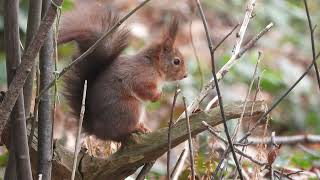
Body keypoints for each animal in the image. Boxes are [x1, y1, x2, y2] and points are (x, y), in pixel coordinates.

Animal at [58, 3, 186, 143]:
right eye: (176, 61)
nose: (185, 75)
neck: (154, 65)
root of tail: (99, 131)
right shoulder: (141, 76)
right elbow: (142, 88)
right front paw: (157, 96)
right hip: (130, 107)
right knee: (121, 132)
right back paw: (136, 128)